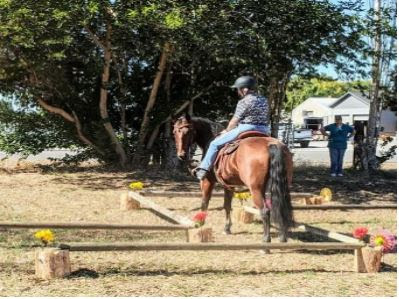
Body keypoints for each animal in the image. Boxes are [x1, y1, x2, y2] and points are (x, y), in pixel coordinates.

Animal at [173, 113, 296, 243]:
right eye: (175, 132)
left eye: (188, 131)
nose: (182, 155)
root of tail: (271, 145)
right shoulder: (228, 185)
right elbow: (227, 205)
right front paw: (227, 228)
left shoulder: (207, 181)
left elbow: (204, 203)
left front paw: (200, 224)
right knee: (280, 208)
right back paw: (282, 236)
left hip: (256, 189)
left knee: (265, 211)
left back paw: (266, 239)